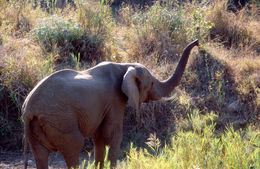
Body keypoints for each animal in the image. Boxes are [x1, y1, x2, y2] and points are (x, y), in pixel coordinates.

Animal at [22, 39, 199, 168]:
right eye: (152, 83)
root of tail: (28, 110)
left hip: (36, 128)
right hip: (61, 121)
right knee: (74, 147)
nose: (197, 42)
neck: (125, 66)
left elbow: (99, 137)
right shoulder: (114, 100)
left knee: (40, 155)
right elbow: (112, 135)